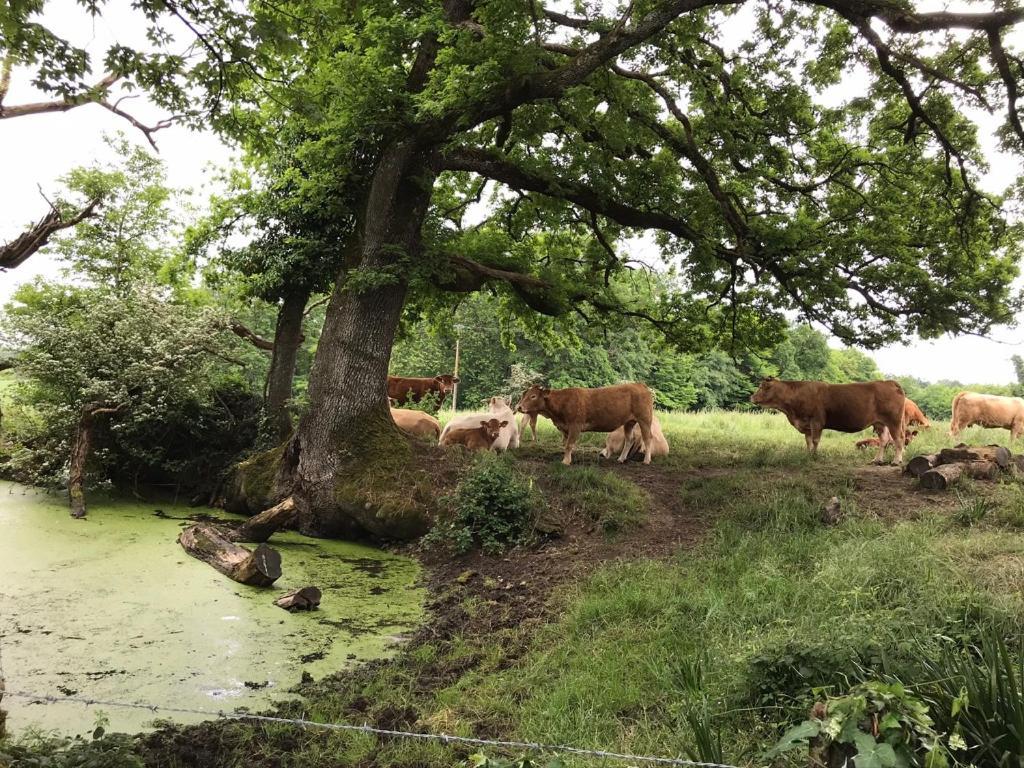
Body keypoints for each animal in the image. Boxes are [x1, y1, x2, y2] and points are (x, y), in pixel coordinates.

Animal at [512, 382, 655, 466]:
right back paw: (621, 459)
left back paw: (646, 460)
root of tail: (639, 384)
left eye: (533, 396)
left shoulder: (575, 426)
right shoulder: (565, 428)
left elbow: (569, 445)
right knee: (629, 440)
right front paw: (567, 457)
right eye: (524, 394)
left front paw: (566, 461)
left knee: (648, 438)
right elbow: (566, 444)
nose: (519, 407)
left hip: (644, 419)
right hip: (629, 422)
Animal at [749, 376, 909, 462]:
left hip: (894, 421)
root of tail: (888, 382)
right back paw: (877, 460)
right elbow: (808, 441)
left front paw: (814, 456)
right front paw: (808, 454)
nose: (751, 397)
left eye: (762, 387)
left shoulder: (816, 421)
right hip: (880, 423)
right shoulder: (807, 425)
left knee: (898, 439)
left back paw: (896, 460)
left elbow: (815, 440)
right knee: (884, 440)